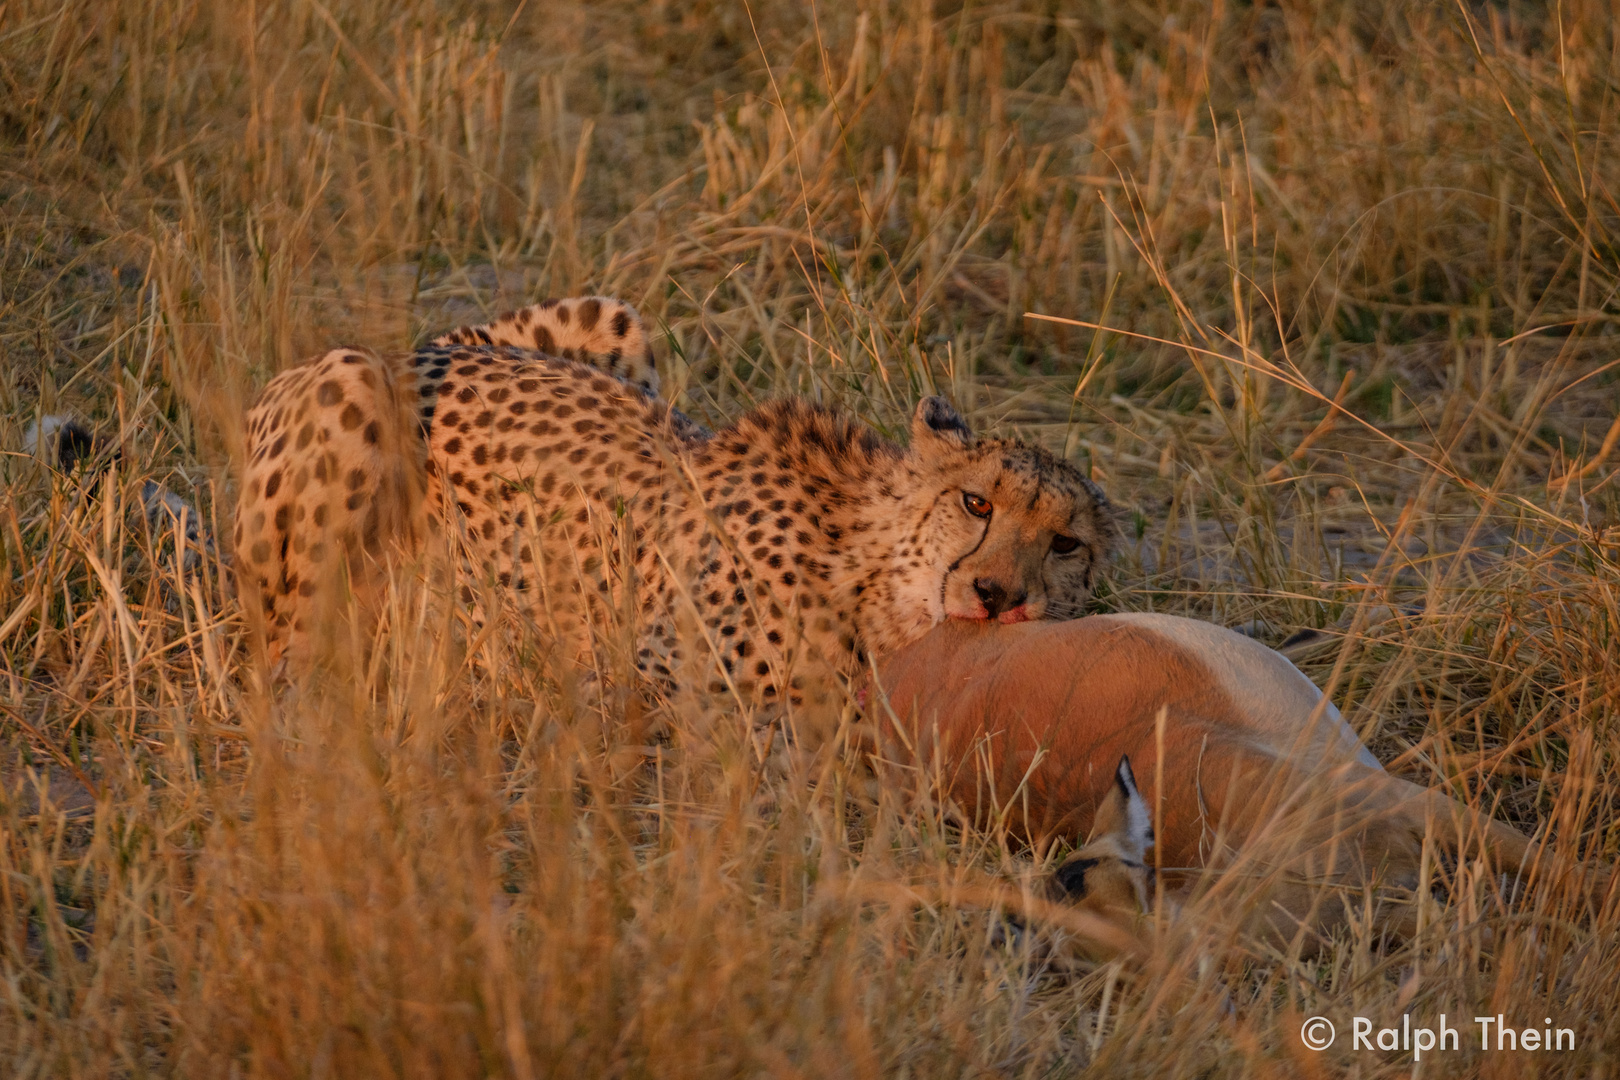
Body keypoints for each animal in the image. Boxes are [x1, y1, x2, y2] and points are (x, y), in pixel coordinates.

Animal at [231, 296, 1114, 702]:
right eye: (976, 504)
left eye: (1066, 545)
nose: (998, 596)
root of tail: (417, 347)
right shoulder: (634, 678)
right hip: (350, 385)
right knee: (278, 659)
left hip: (614, 320)